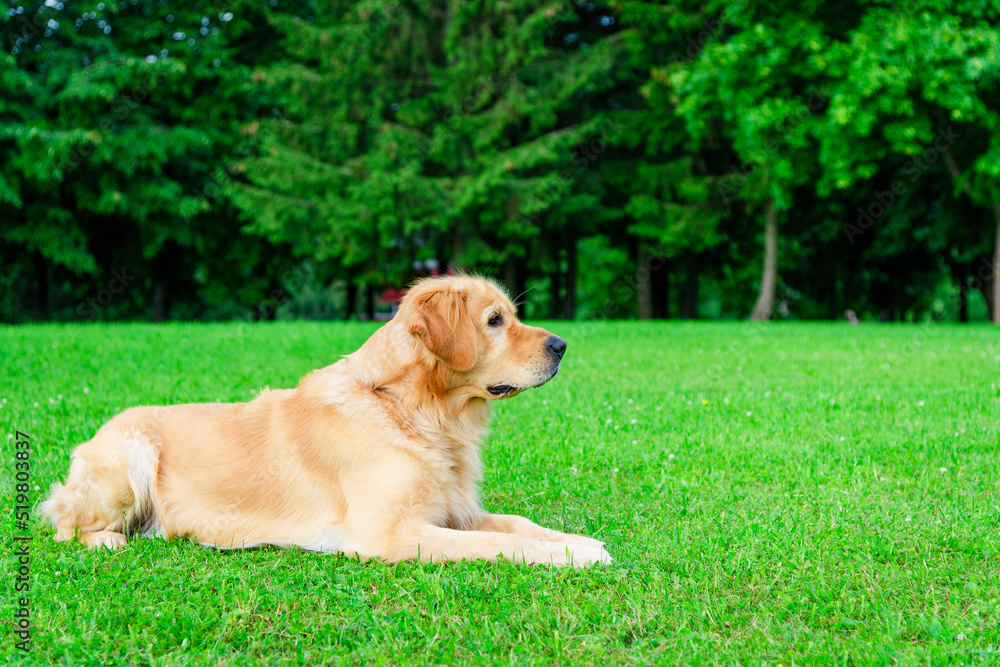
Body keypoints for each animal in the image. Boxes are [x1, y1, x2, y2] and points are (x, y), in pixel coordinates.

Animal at [41, 274, 608, 568]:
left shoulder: (451, 511)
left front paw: (579, 542)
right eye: (495, 321)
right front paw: (569, 555)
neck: (410, 410)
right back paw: (109, 540)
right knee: (62, 524)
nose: (562, 345)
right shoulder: (390, 533)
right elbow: (500, 543)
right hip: (132, 456)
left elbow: (517, 524)